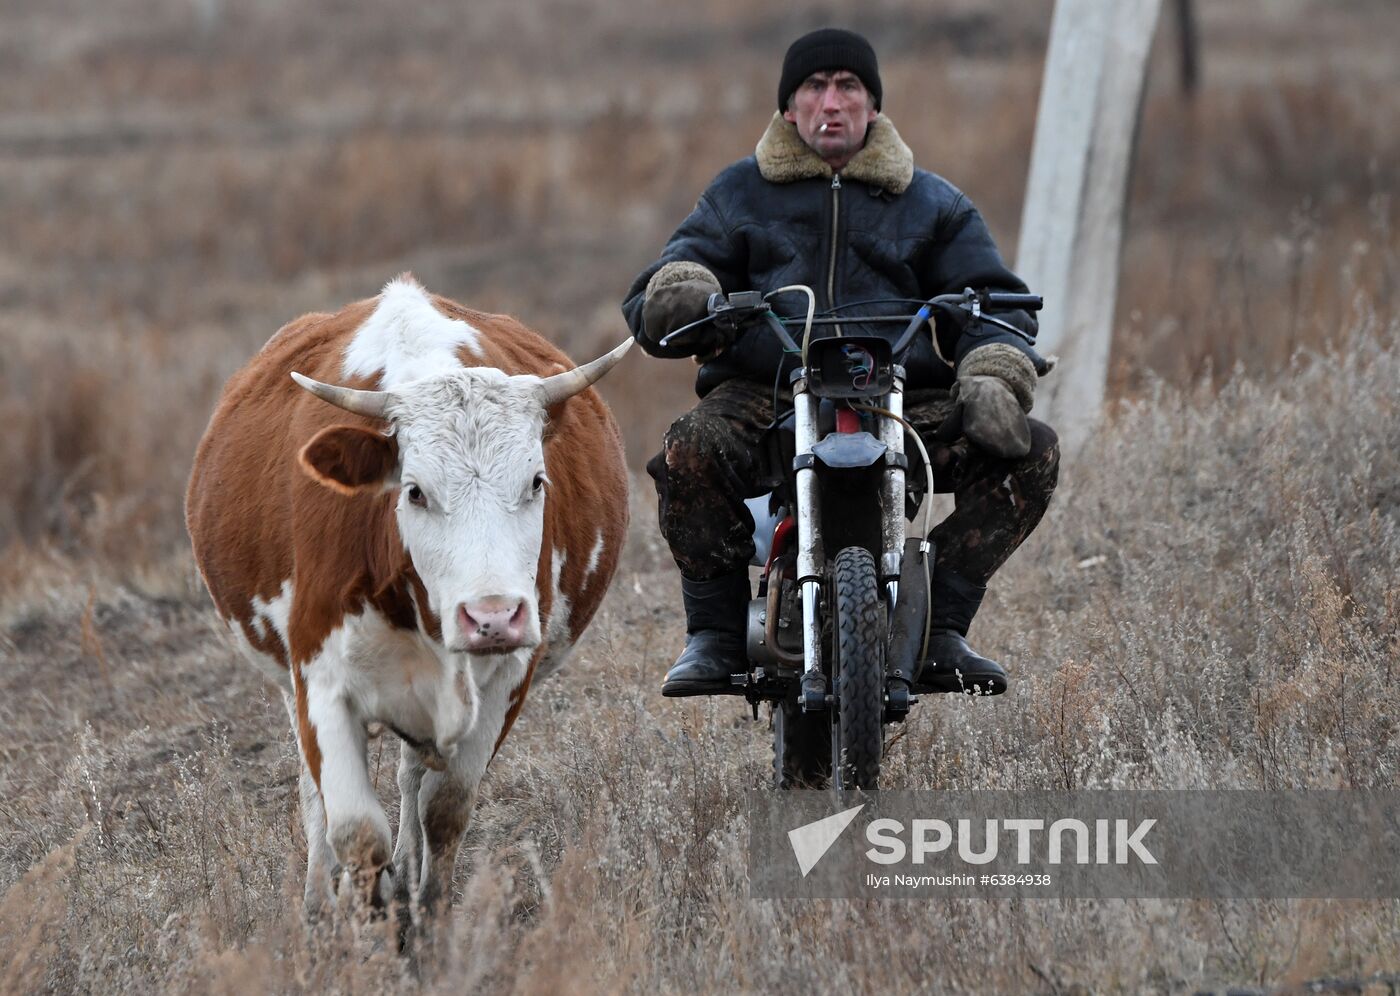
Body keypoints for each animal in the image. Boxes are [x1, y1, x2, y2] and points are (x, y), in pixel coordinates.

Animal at [184, 274, 630, 918]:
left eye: (536, 481)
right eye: (415, 491)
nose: (492, 618)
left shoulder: (506, 678)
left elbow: (443, 810)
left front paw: (425, 918)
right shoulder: (320, 680)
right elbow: (354, 829)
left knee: (412, 779)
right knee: (315, 792)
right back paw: (319, 897)